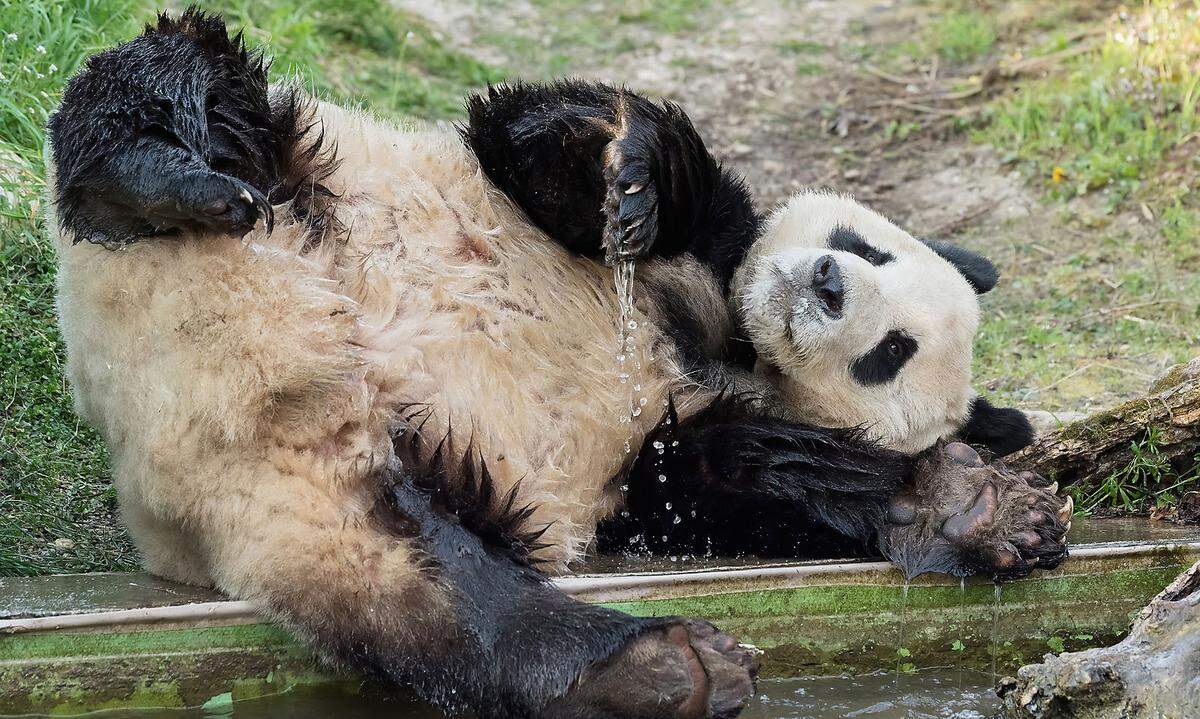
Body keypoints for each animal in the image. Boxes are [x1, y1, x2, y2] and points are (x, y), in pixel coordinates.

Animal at [44, 11, 1070, 719]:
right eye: (867, 246)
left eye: (890, 354)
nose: (823, 281)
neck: (719, 338)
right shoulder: (696, 238)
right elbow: (539, 142)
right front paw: (633, 180)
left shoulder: (652, 462)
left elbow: (744, 472)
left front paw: (974, 504)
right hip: (293, 181)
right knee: (178, 83)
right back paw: (162, 180)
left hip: (398, 477)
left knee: (442, 596)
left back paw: (656, 668)